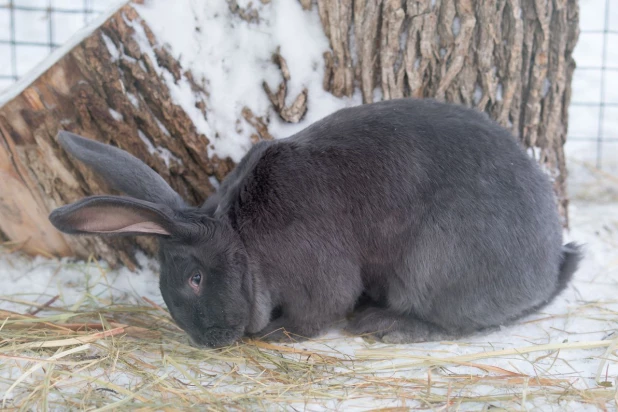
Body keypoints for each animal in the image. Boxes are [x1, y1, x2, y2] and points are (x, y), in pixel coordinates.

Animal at [48, 98, 576, 346]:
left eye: (195, 279)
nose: (206, 344)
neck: (243, 242)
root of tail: (550, 265)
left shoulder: (320, 280)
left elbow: (317, 314)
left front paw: (274, 333)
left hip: (435, 263)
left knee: (458, 321)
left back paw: (385, 325)